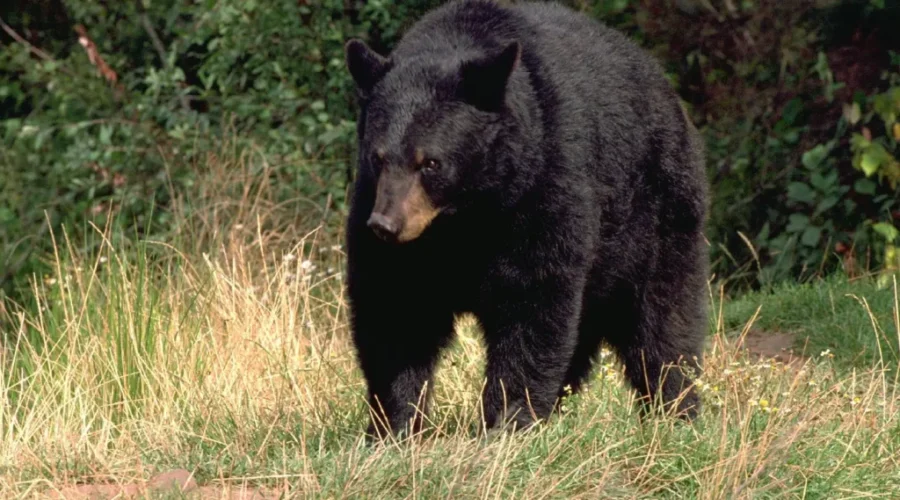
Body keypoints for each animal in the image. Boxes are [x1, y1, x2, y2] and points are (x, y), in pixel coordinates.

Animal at [343, 0, 709, 439]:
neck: (464, 217)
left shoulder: (542, 191)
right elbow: (394, 310)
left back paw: (676, 413)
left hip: (659, 218)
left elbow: (532, 302)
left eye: (430, 162)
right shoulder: (387, 223)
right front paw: (393, 425)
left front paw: (508, 422)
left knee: (662, 321)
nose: (386, 226)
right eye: (377, 157)